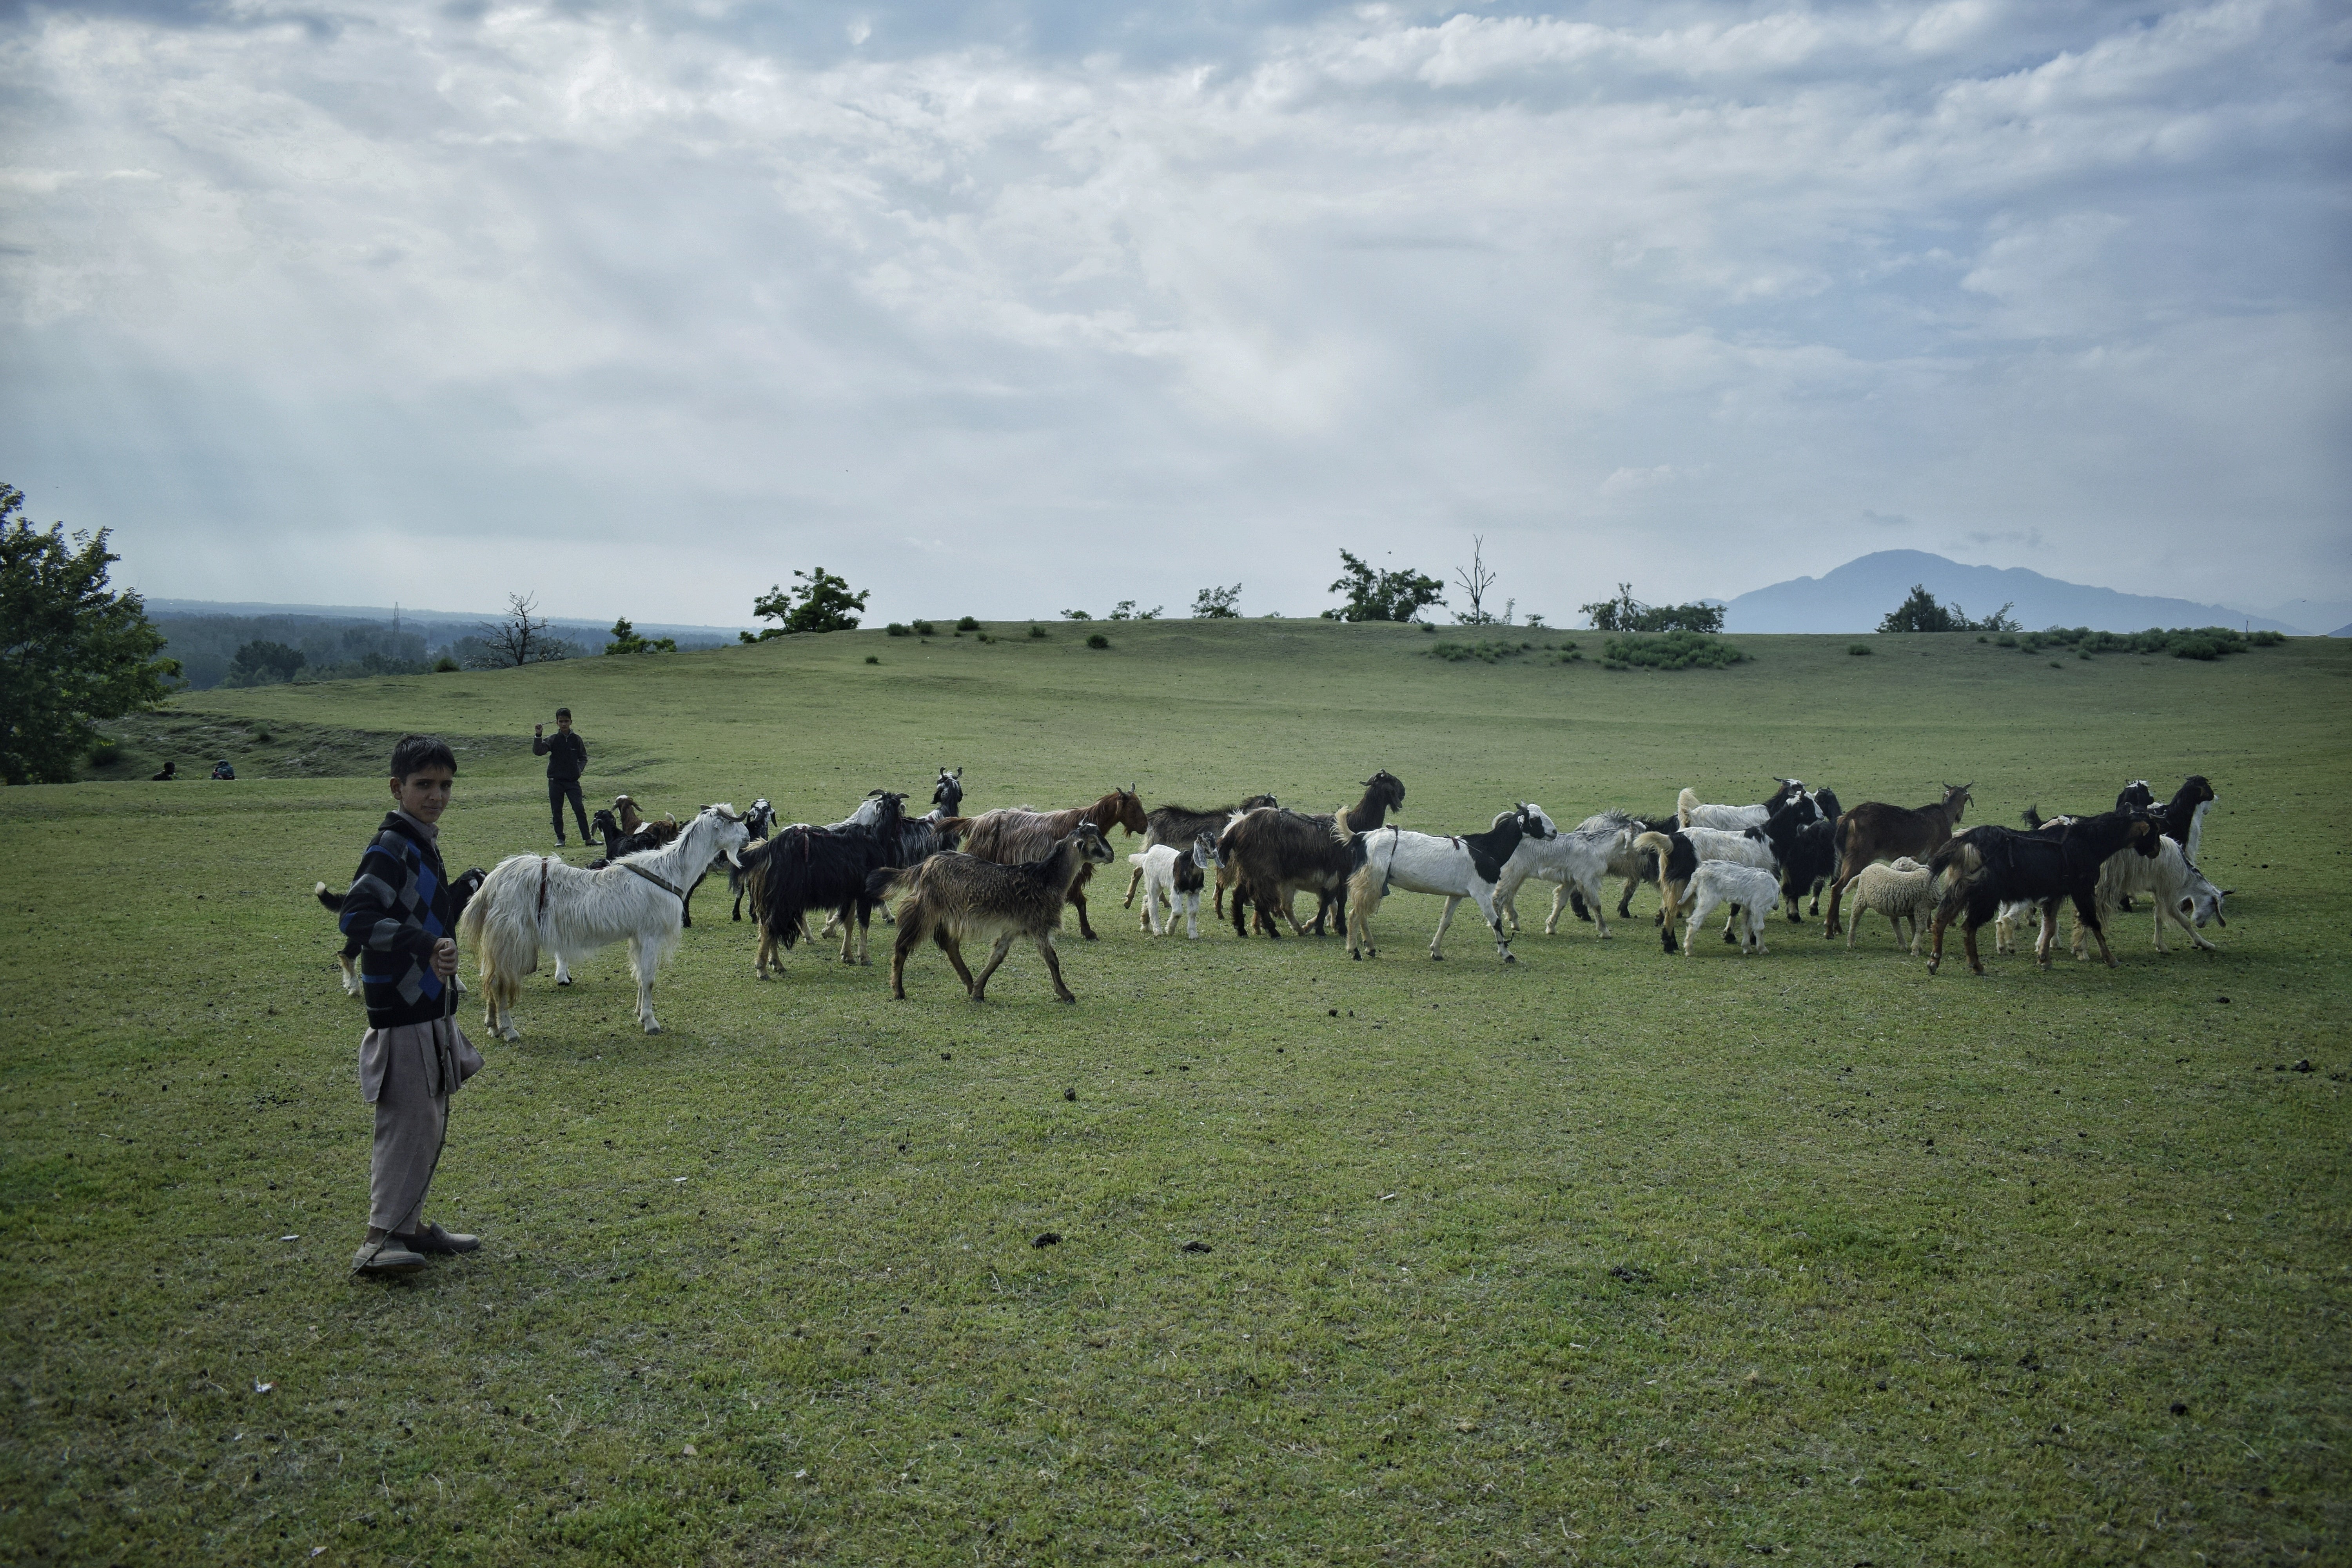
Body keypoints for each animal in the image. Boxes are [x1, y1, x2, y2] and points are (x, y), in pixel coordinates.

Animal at [459, 804, 753, 1034]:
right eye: (731, 821)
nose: (749, 836)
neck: (668, 871)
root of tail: (493, 882)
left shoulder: (638, 935)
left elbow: (639, 976)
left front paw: (639, 1013)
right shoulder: (650, 934)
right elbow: (649, 978)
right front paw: (651, 1023)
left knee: (490, 977)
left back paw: (492, 1024)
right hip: (510, 938)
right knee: (499, 982)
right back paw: (508, 1030)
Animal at [884, 822, 1115, 1006]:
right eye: (1093, 840)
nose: (1112, 855)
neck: (1047, 879)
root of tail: (923, 866)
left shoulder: (1013, 928)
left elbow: (998, 956)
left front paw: (979, 990)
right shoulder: (1039, 924)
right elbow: (1052, 959)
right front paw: (1066, 994)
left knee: (950, 946)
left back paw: (969, 983)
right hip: (925, 910)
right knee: (903, 946)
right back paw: (898, 990)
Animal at [1816, 780, 1966, 940]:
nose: (1959, 817)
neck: (1945, 817)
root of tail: (1846, 820)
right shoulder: (1934, 857)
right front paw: (1929, 924)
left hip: (1843, 859)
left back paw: (1837, 927)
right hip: (1857, 858)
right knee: (1837, 888)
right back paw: (1829, 931)